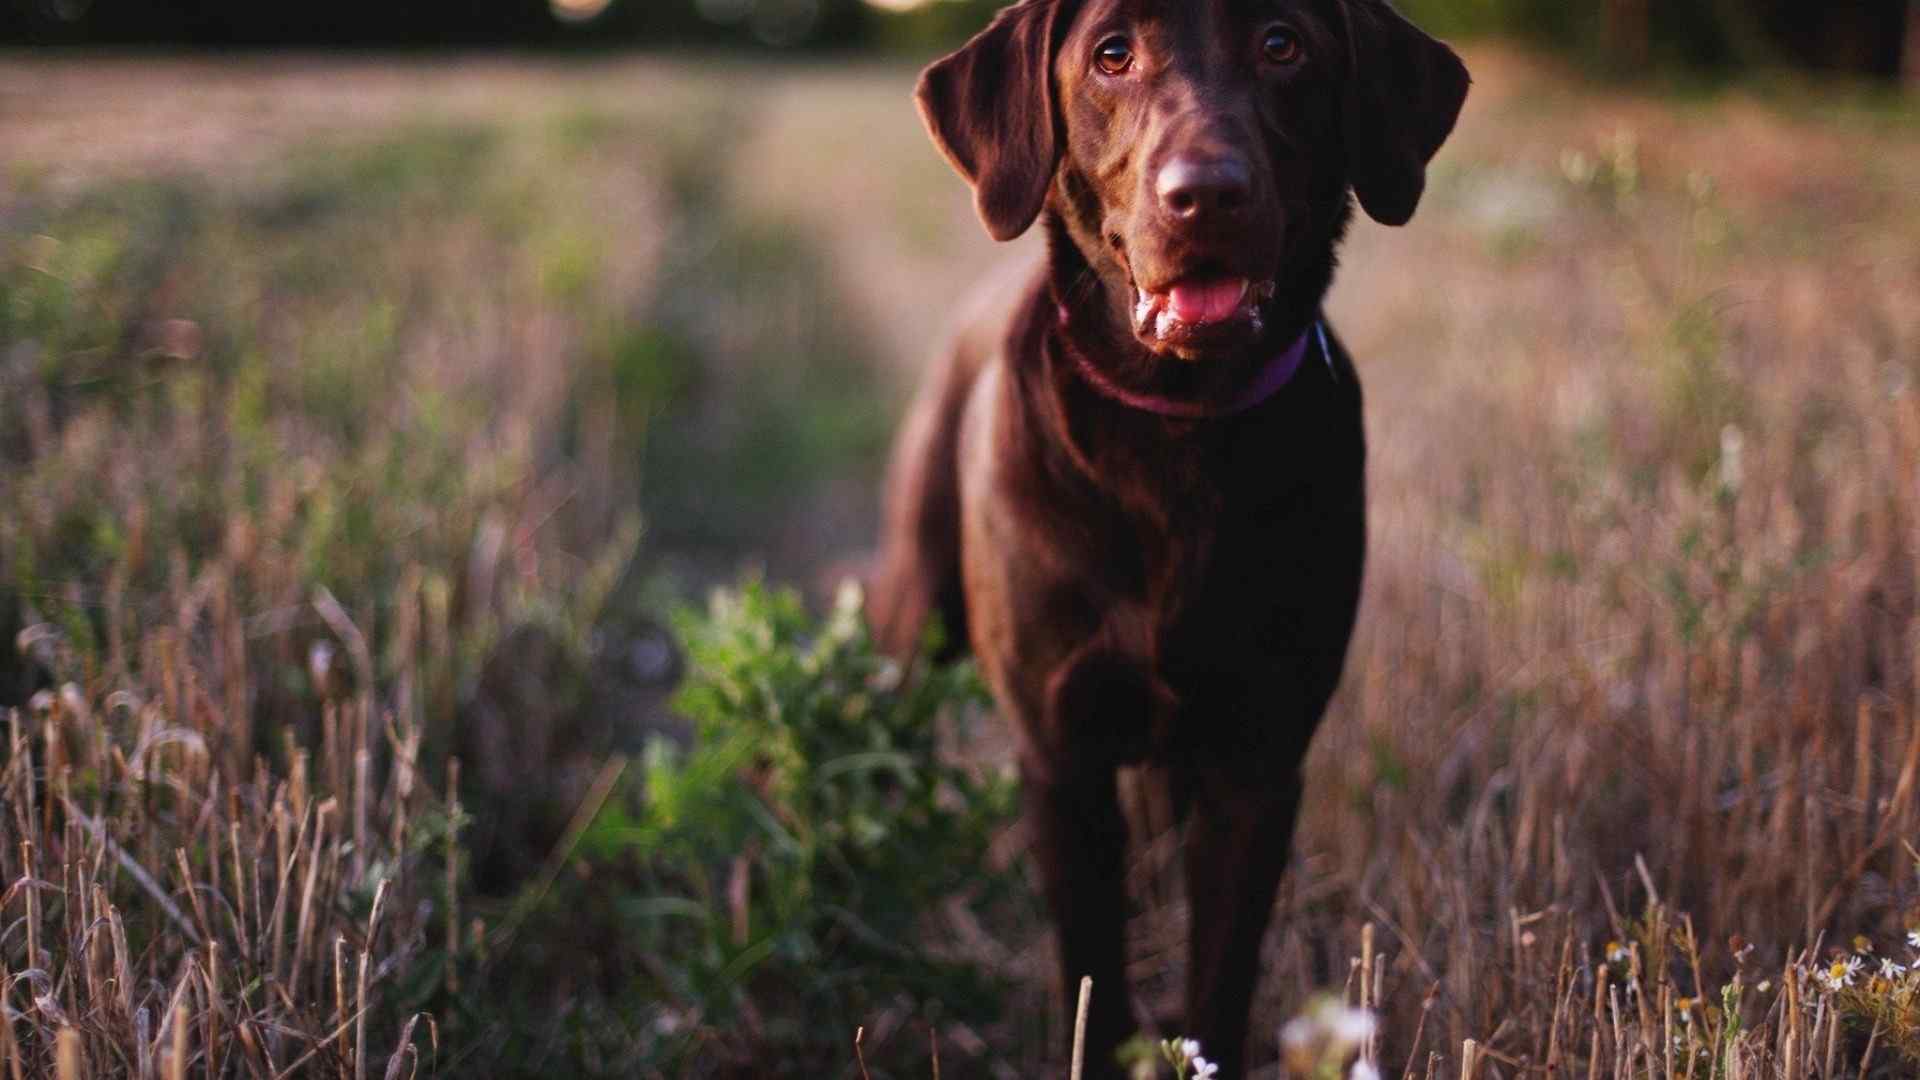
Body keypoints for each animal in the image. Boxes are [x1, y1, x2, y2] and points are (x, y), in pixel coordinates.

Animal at [871, 4, 1466, 1068]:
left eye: (1283, 45)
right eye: (1113, 55)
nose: (1206, 194)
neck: (1176, 434)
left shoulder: (1257, 762)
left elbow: (1220, 977)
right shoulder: (1060, 758)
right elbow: (1093, 972)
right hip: (915, 610)